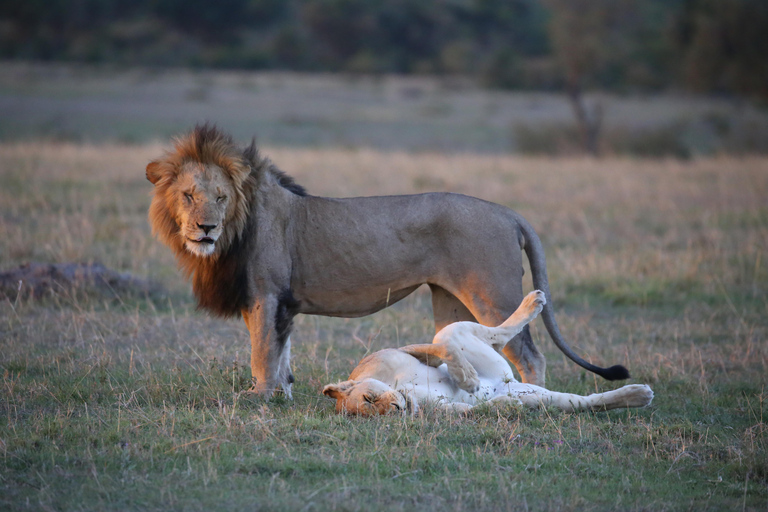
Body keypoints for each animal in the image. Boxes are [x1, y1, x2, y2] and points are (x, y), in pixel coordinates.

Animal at [146, 126, 632, 398]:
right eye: (188, 195)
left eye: (220, 197)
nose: (205, 228)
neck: (233, 233)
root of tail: (507, 212)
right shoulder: (276, 301)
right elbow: (280, 352)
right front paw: (282, 392)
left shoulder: (266, 295)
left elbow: (262, 351)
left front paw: (260, 397)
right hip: (449, 301)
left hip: (492, 294)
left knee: (529, 353)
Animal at [324, 288, 656, 416]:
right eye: (373, 413)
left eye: (370, 398)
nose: (395, 408)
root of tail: (508, 382)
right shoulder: (441, 410)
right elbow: (473, 410)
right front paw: (503, 406)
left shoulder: (396, 351)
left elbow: (441, 348)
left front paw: (469, 381)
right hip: (543, 397)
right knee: (586, 402)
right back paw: (637, 394)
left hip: (461, 332)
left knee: (488, 334)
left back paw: (533, 301)